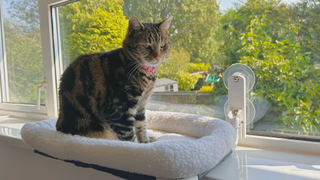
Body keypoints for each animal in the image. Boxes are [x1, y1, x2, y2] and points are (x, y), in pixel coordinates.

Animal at [56, 15, 174, 143]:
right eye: (147, 46)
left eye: (163, 45)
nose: (158, 57)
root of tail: (59, 124)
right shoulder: (119, 111)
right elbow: (129, 137)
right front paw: (137, 145)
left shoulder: (141, 105)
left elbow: (141, 125)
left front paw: (145, 141)